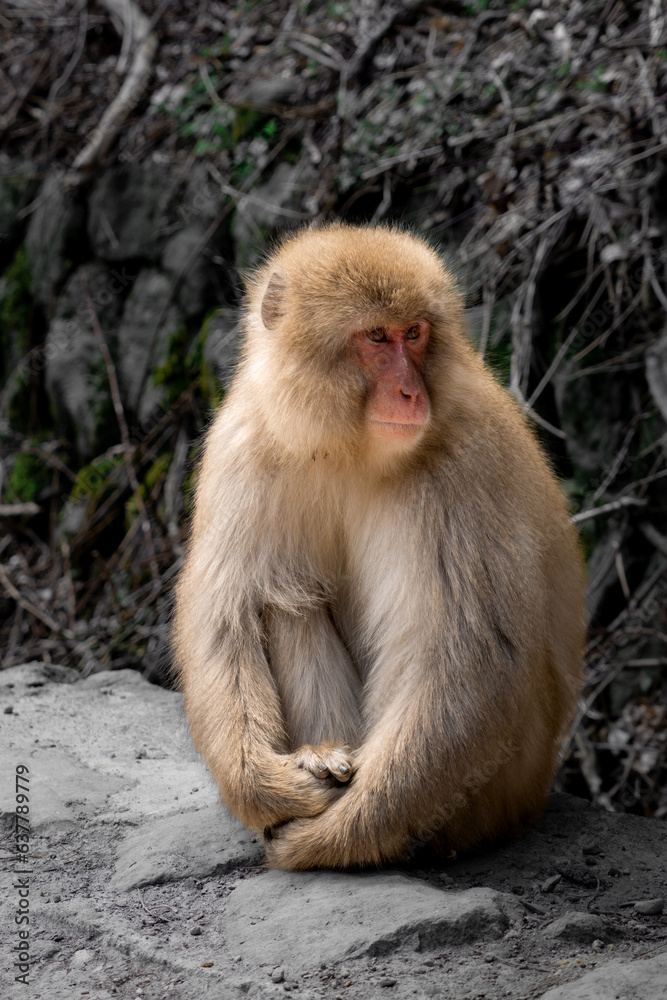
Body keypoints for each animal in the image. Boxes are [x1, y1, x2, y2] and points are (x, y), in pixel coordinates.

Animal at [172, 223, 584, 872]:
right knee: (284, 599)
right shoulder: (245, 443)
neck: (348, 448)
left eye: (414, 334)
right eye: (375, 337)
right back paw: (323, 755)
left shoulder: (461, 466)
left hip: (502, 787)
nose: (411, 392)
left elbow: (473, 655)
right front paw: (267, 788)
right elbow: (224, 617)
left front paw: (337, 836)